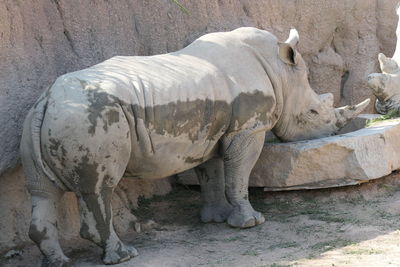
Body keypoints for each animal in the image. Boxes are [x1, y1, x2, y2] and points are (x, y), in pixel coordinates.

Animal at [20, 27, 368, 266]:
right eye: (313, 113)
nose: (331, 130)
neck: (279, 71)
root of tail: (48, 99)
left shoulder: (208, 131)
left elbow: (212, 174)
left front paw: (215, 219)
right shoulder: (248, 128)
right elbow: (238, 173)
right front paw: (250, 222)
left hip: (42, 121)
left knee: (42, 191)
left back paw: (58, 262)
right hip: (90, 116)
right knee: (98, 189)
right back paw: (124, 255)